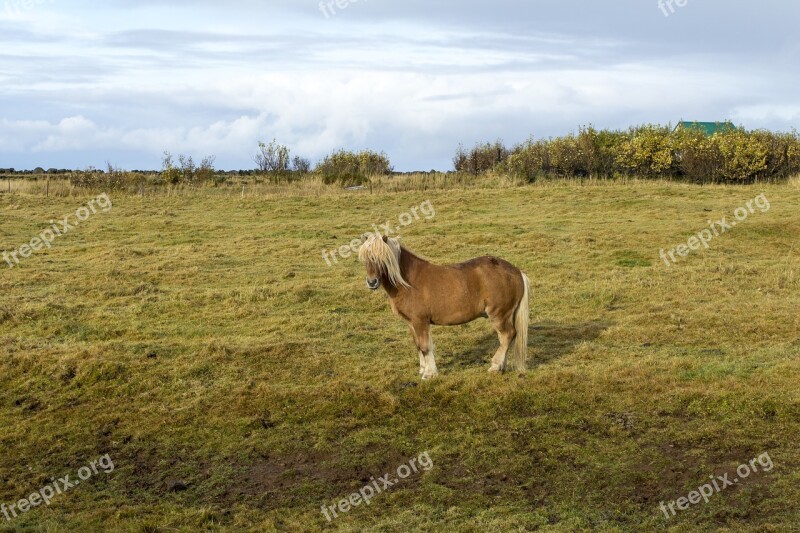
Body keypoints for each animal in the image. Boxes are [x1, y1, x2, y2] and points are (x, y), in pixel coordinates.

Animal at [360, 234, 528, 378]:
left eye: (382, 258)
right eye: (365, 258)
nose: (372, 282)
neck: (408, 282)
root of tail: (517, 272)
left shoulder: (420, 321)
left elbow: (425, 347)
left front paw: (429, 374)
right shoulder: (411, 323)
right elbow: (418, 346)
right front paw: (423, 370)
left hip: (499, 314)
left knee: (507, 335)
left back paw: (495, 366)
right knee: (503, 338)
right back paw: (501, 366)